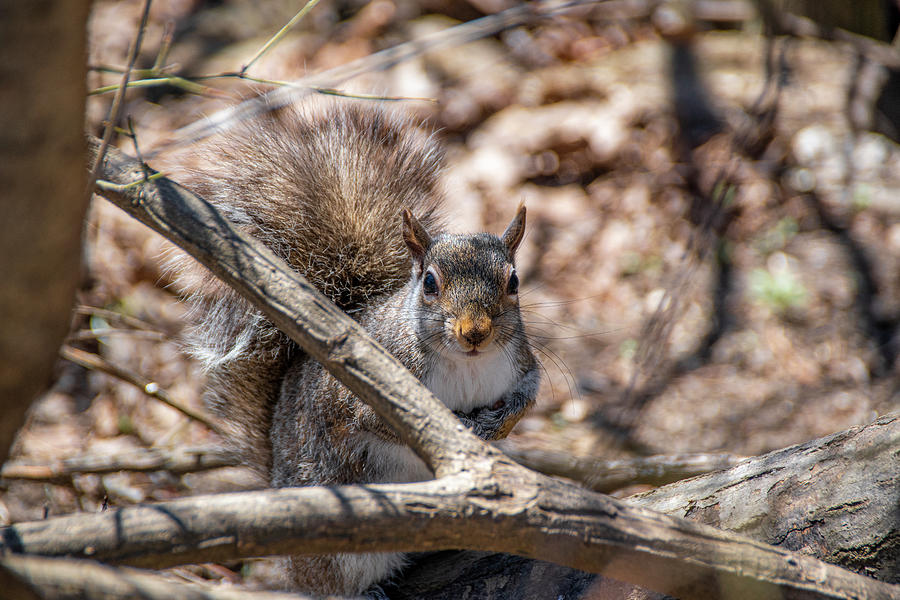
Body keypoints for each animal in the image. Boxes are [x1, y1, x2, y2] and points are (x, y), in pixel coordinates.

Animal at [171, 100, 540, 596]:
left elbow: (528, 395)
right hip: (336, 541)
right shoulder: (369, 388)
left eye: (514, 282)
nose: (474, 332)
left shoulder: (520, 362)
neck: (468, 365)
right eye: (429, 283)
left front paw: (498, 424)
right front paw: (459, 424)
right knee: (330, 583)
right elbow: (376, 421)